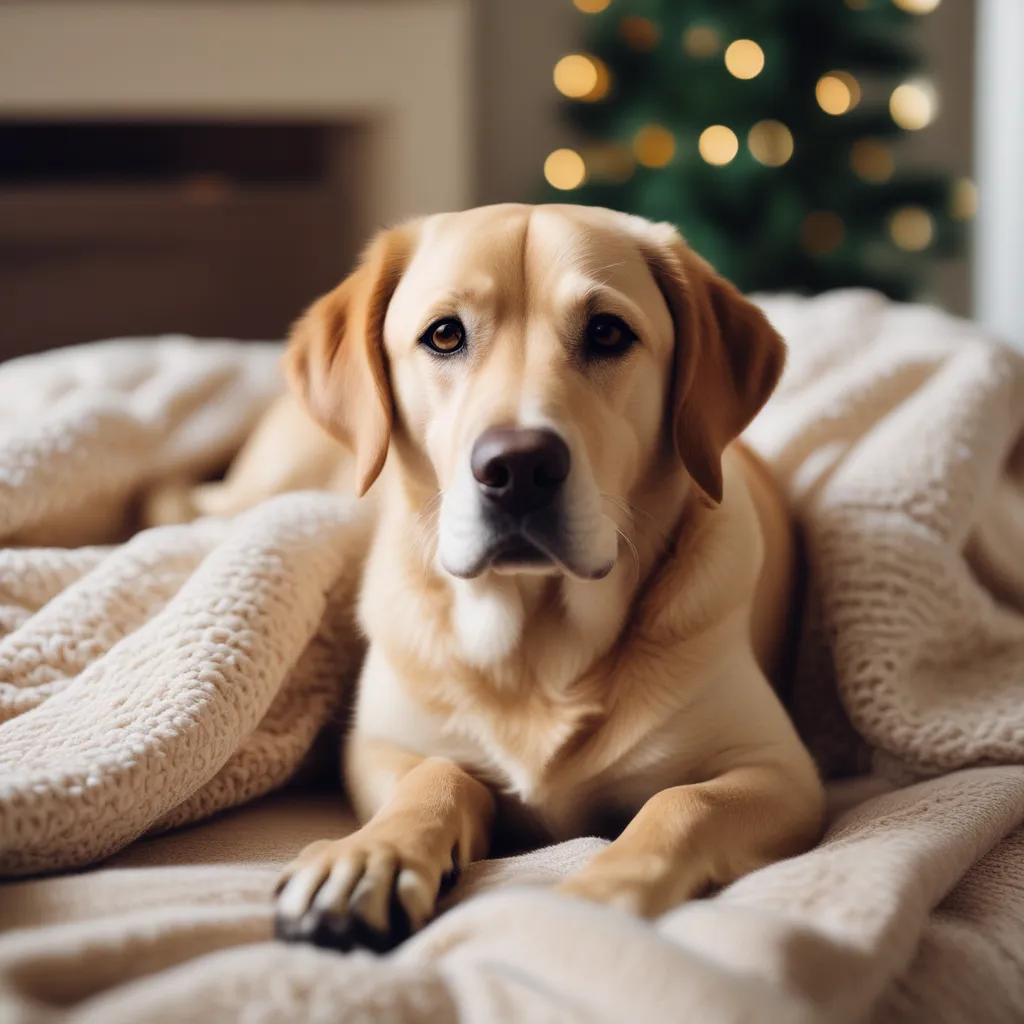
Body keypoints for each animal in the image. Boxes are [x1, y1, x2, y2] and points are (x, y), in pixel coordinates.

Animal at [163, 201, 827, 950]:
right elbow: (436, 774)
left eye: (608, 332)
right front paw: (370, 857)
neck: (538, 642)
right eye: (445, 335)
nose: (520, 467)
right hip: (273, 479)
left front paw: (596, 898)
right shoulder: (377, 746)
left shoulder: (781, 772)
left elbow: (680, 804)